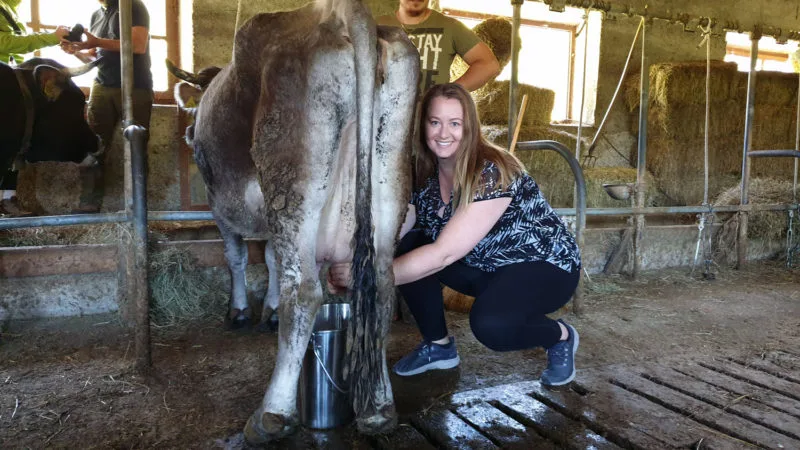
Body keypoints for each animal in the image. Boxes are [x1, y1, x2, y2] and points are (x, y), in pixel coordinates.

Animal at [169, 0, 418, 442]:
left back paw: (271, 416)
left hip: (292, 181)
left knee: (302, 292)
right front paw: (265, 312)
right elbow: (268, 259)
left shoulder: (220, 208)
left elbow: (238, 258)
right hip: (390, 173)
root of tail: (340, 14)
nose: (188, 132)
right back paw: (379, 410)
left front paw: (240, 312)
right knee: (382, 286)